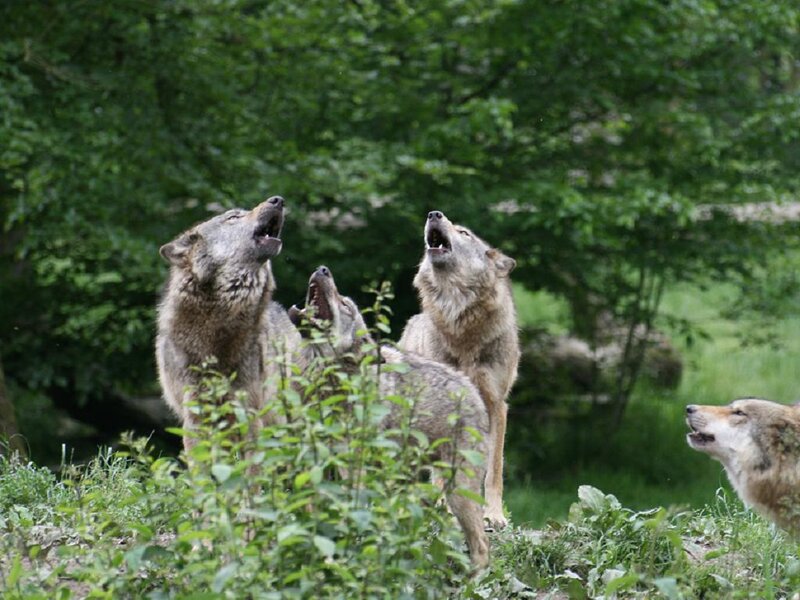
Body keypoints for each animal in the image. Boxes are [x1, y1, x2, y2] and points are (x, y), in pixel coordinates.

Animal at [288, 266, 491, 569]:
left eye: (345, 305)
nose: (323, 269)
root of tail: (473, 393)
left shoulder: (354, 470)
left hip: (458, 493)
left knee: (481, 547)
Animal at [399, 210, 519, 529]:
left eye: (464, 233)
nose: (434, 214)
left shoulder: (496, 406)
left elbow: (493, 471)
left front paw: (493, 515)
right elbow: (443, 471)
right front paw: (445, 508)